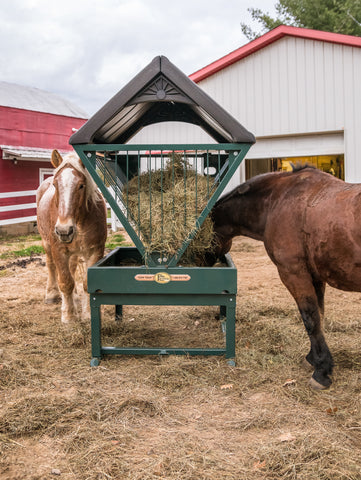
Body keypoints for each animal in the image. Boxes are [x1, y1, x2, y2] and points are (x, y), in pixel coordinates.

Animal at [36, 150, 107, 322]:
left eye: (81, 185)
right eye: (55, 185)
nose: (64, 230)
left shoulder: (95, 251)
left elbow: (87, 284)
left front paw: (87, 314)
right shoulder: (59, 251)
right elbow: (65, 282)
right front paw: (69, 316)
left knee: (72, 267)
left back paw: (73, 298)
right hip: (46, 244)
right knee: (51, 266)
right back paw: (51, 294)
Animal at [208, 165, 360, 390]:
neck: (277, 200)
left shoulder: (293, 273)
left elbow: (310, 319)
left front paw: (321, 371)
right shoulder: (314, 276)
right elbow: (319, 316)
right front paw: (314, 359)